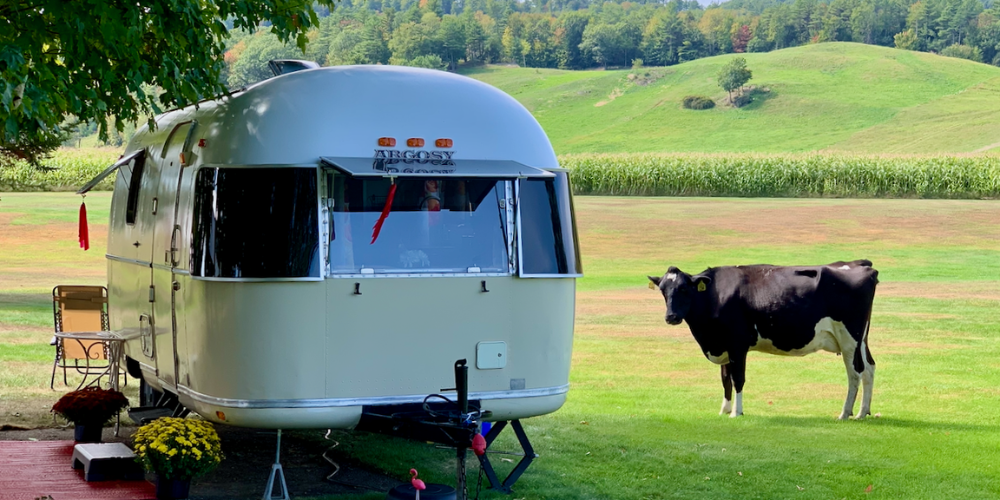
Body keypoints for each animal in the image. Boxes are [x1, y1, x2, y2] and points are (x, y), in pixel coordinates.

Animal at [648, 260, 876, 420]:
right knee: (869, 368)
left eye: (684, 289)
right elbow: (725, 378)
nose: (671, 317)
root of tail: (861, 264)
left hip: (849, 339)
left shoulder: (737, 344)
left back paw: (845, 413)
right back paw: (862, 412)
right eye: (663, 290)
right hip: (862, 340)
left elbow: (737, 379)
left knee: (855, 373)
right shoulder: (724, 345)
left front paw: (736, 412)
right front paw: (724, 410)